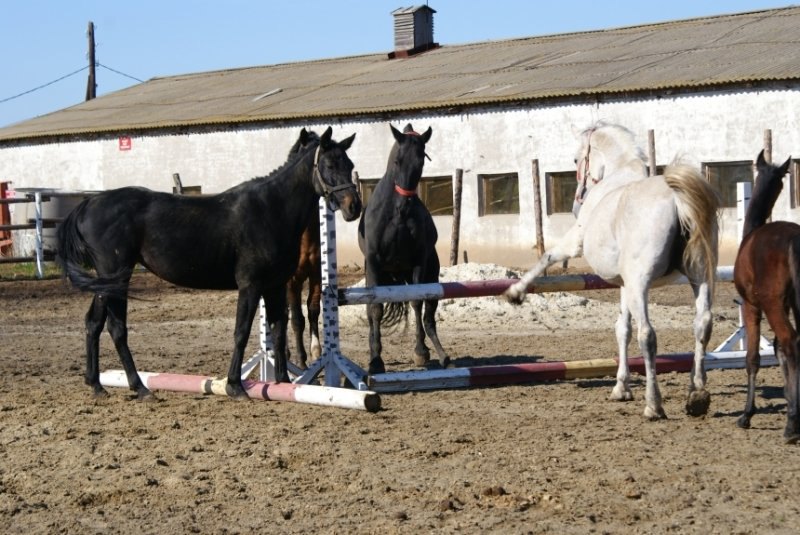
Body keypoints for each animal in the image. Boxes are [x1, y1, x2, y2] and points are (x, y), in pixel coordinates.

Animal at [59, 126, 362, 402]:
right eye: (329, 164)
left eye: (350, 165)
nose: (354, 207)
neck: (271, 210)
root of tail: (89, 203)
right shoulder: (251, 286)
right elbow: (241, 332)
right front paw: (235, 386)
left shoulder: (275, 286)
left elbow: (278, 331)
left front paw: (284, 384)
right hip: (116, 277)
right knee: (117, 329)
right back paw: (140, 387)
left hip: (105, 281)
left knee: (93, 323)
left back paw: (97, 386)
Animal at [358, 123, 450, 374]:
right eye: (398, 161)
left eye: (421, 161)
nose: (403, 206)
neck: (395, 215)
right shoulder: (374, 263)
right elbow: (375, 310)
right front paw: (376, 360)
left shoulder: (418, 262)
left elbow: (417, 302)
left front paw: (420, 352)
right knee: (371, 312)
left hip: (428, 276)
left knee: (429, 318)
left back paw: (440, 353)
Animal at [506, 123, 720, 420]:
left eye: (576, 159)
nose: (576, 204)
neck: (619, 172)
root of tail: (678, 200)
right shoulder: (624, 284)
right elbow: (622, 329)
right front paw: (621, 388)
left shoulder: (576, 244)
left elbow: (547, 256)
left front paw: (515, 292)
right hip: (698, 278)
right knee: (702, 324)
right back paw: (697, 394)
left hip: (642, 284)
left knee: (648, 335)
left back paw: (654, 405)